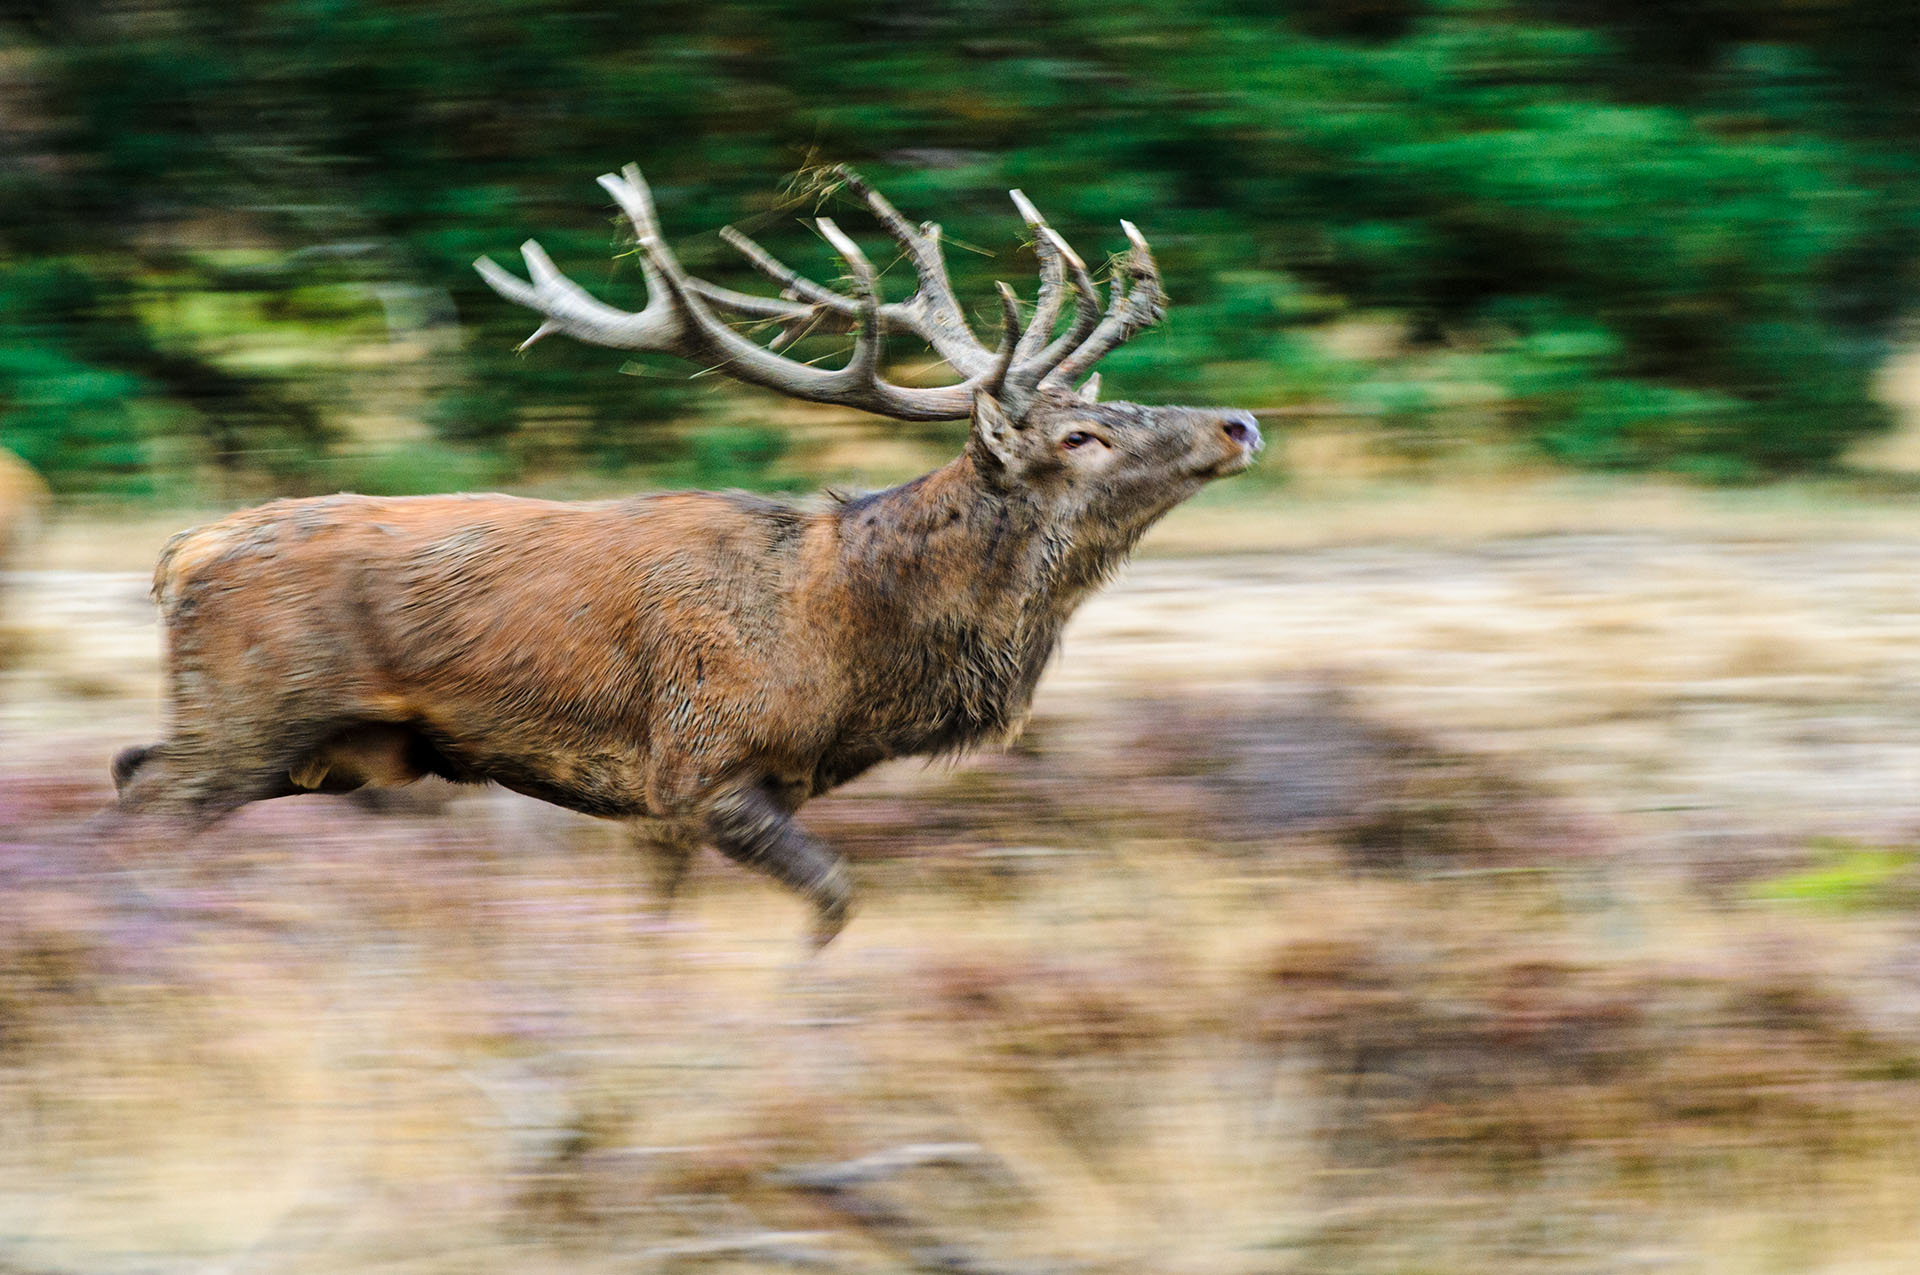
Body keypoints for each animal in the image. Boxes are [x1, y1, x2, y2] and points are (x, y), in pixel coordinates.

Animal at [112, 164, 1267, 944]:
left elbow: (659, 920)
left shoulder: (682, 800)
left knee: (130, 769)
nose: (1239, 422)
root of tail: (178, 556)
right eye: (1081, 436)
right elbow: (837, 898)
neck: (845, 646)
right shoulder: (700, 762)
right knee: (153, 800)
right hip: (253, 711)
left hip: (302, 747)